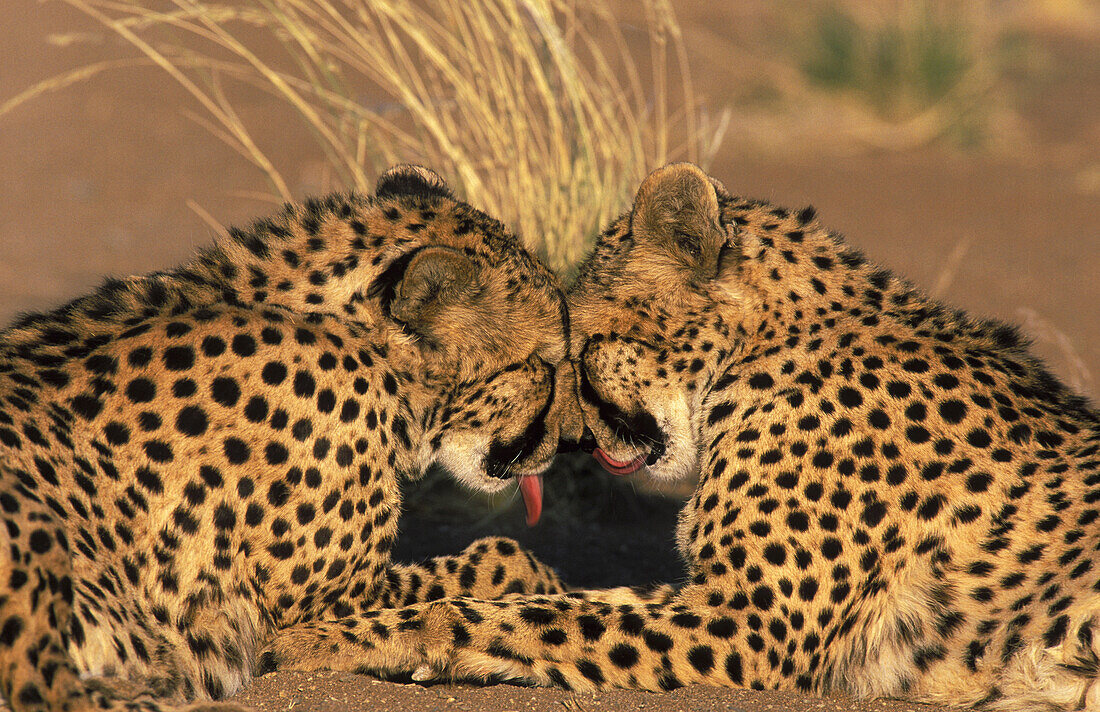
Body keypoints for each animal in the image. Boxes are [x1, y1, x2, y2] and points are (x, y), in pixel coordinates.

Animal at [288, 163, 1100, 708]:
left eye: (580, 345)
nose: (567, 443)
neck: (767, 348)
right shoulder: (712, 594)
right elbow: (581, 599)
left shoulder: (753, 623)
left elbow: (540, 619)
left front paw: (331, 639)